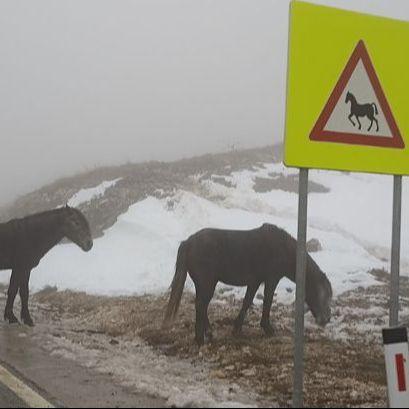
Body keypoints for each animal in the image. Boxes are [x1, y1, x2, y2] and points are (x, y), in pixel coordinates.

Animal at [164, 223, 334, 344]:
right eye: (323, 294)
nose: (326, 319)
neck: (283, 249)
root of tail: (188, 242)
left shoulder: (255, 281)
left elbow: (247, 302)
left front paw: (237, 328)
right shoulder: (271, 279)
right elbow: (267, 301)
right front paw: (268, 328)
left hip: (203, 284)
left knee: (201, 306)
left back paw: (209, 333)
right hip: (207, 283)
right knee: (201, 305)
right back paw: (200, 339)